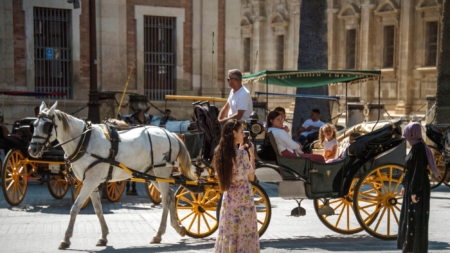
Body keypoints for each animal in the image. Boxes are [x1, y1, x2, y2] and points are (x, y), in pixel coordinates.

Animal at [27, 102, 196, 250]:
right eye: (33, 125)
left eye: (46, 126)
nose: (32, 149)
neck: (84, 142)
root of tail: (170, 134)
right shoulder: (92, 182)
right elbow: (97, 209)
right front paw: (103, 236)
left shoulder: (90, 182)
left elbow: (75, 208)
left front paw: (66, 239)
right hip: (152, 174)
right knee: (170, 195)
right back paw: (176, 228)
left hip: (161, 172)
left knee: (166, 199)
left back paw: (160, 233)